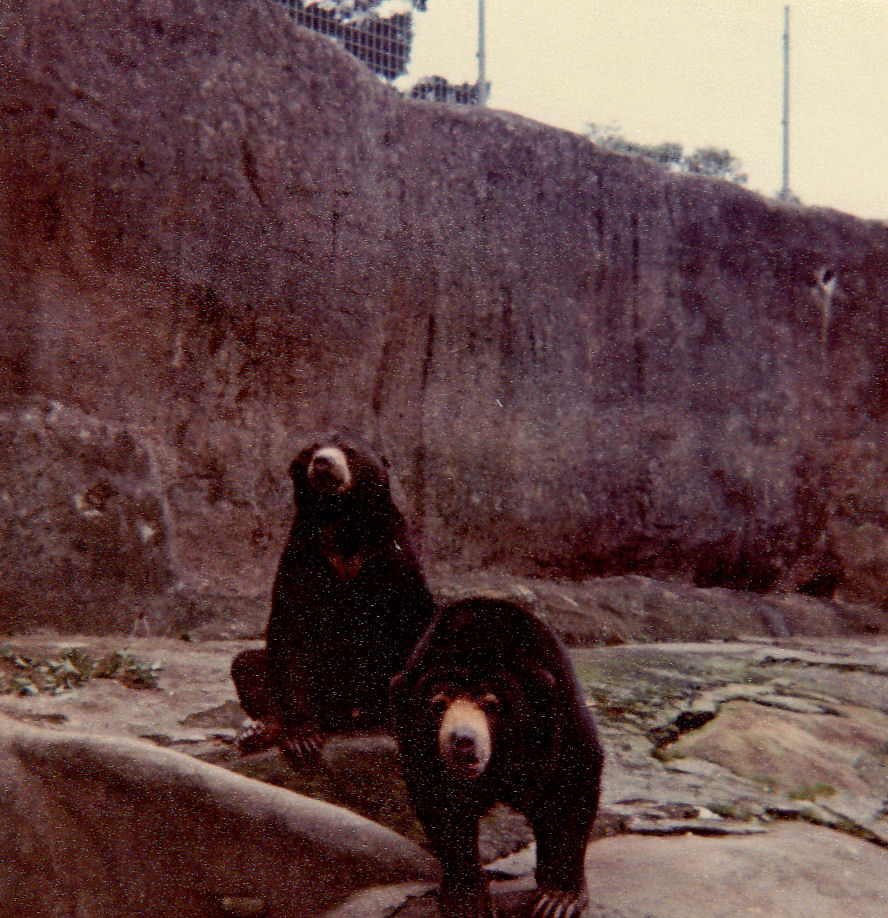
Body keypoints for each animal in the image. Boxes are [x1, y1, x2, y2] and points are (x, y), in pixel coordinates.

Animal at [231, 432, 436, 765]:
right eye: (309, 451)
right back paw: (258, 731)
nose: (323, 462)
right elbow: (290, 631)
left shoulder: (395, 557)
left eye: (350, 451)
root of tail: (346, 716)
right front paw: (302, 738)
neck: (342, 523)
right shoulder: (302, 556)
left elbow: (416, 619)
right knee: (248, 665)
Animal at [390, 597, 603, 918]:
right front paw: (466, 897)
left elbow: (570, 778)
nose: (462, 741)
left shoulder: (558, 713)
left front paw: (558, 898)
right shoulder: (421, 747)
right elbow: (441, 800)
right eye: (438, 705)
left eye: (491, 705)